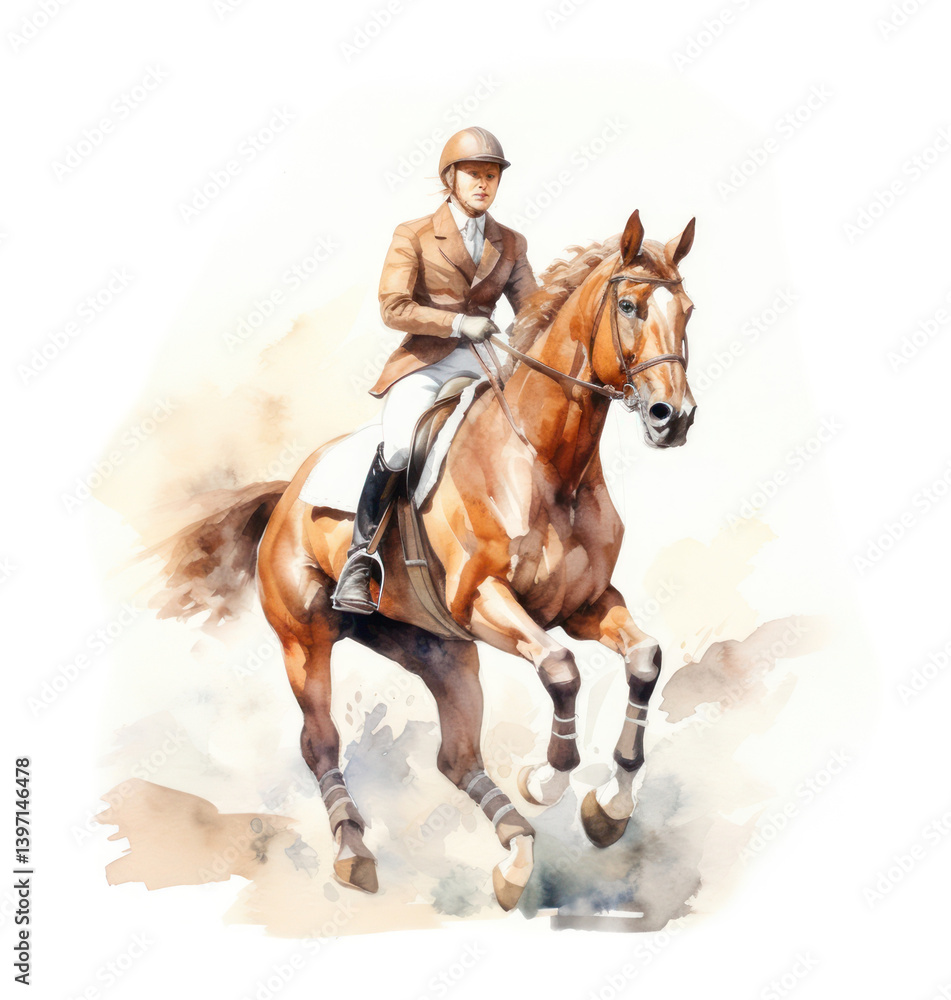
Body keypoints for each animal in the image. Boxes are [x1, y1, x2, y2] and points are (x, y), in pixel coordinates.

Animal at [159, 209, 696, 913]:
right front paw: (549, 779)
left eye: (688, 310)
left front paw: (610, 806)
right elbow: (560, 669)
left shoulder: (584, 605)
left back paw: (515, 856)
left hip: (438, 649)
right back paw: (356, 852)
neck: (548, 463)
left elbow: (644, 659)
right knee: (320, 741)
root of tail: (288, 491)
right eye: (629, 305)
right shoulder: (486, 601)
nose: (673, 418)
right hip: (307, 639)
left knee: (457, 757)